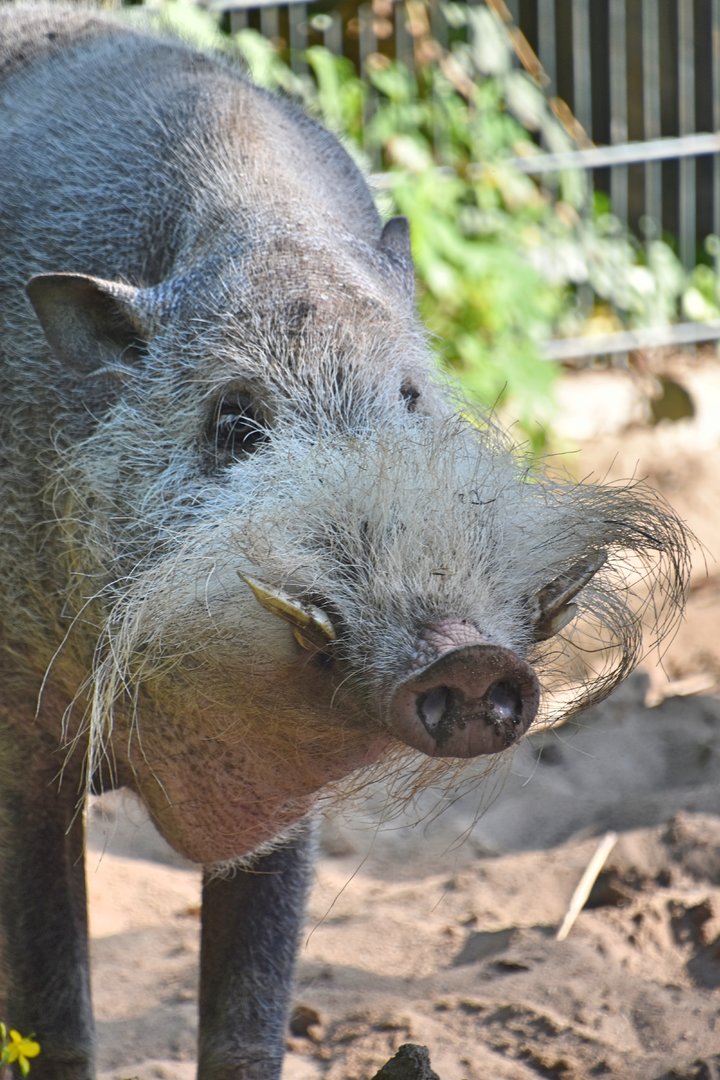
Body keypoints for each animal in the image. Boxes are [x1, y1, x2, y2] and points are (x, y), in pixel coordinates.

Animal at [0, 4, 690, 1078]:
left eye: (409, 398)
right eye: (236, 424)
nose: (466, 653)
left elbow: (251, 1006)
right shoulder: (24, 742)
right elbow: (54, 1002)